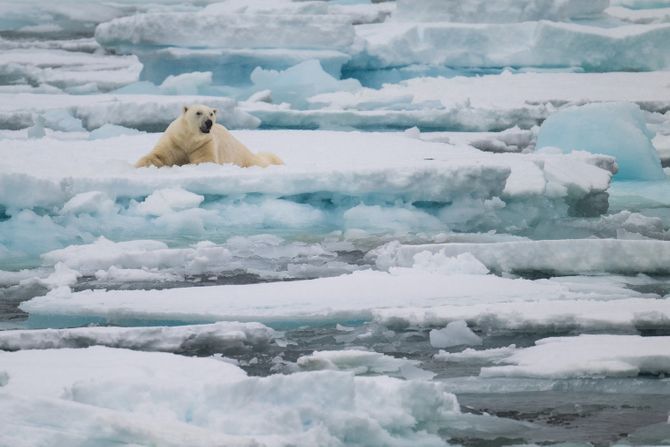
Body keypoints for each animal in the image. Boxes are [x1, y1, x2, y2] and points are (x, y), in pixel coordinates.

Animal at [136, 104, 284, 169]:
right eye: (198, 112)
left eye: (211, 113)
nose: (209, 122)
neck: (189, 138)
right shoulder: (174, 141)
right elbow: (159, 155)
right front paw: (140, 164)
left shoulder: (205, 143)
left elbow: (205, 160)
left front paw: (187, 164)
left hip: (243, 158)